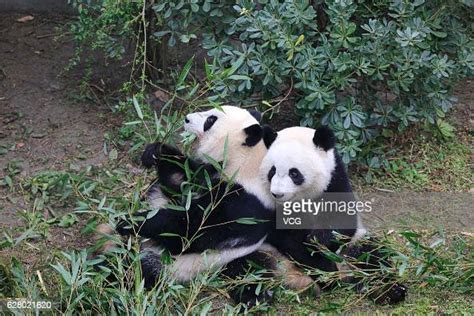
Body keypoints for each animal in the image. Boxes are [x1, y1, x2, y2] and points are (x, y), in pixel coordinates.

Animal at [260, 126, 408, 304]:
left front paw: (317, 240)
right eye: (272, 171)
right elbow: (287, 238)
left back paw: (390, 290)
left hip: (354, 247)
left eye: (294, 173)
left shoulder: (335, 179)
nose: (278, 194)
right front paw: (325, 268)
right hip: (268, 253)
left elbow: (343, 221)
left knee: (373, 257)